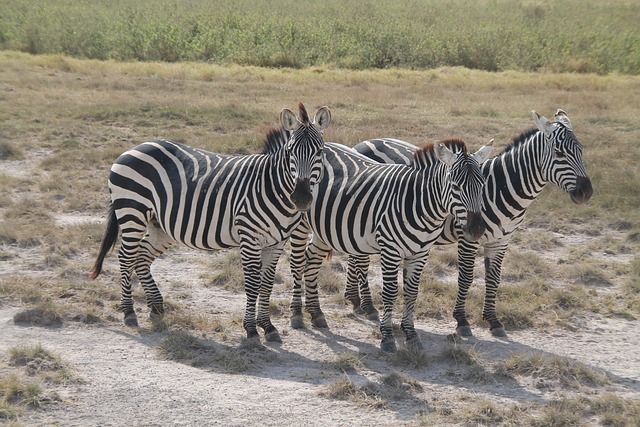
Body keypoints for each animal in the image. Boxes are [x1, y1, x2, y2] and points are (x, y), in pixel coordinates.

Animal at [90, 103, 331, 344]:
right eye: (290, 152)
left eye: (319, 152)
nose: (301, 198)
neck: (271, 186)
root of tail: (135, 147)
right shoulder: (249, 238)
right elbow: (252, 283)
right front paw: (251, 329)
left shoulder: (277, 242)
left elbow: (267, 283)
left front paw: (268, 326)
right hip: (132, 212)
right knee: (126, 257)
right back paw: (129, 312)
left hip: (159, 225)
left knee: (141, 257)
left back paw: (156, 307)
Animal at [289, 139, 493, 352]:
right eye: (455, 186)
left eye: (482, 185)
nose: (477, 229)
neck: (418, 203)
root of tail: (325, 143)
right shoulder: (390, 250)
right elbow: (390, 292)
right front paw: (387, 337)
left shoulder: (420, 253)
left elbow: (411, 293)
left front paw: (411, 335)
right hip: (300, 222)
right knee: (297, 263)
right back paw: (297, 315)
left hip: (323, 229)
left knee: (311, 262)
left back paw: (316, 313)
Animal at [344, 109, 593, 337]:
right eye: (559, 153)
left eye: (581, 150)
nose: (586, 192)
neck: (501, 188)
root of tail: (360, 144)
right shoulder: (468, 237)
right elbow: (465, 277)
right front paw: (462, 321)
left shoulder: (501, 241)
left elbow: (494, 279)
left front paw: (493, 320)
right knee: (360, 259)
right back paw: (367, 305)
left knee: (354, 254)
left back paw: (354, 299)